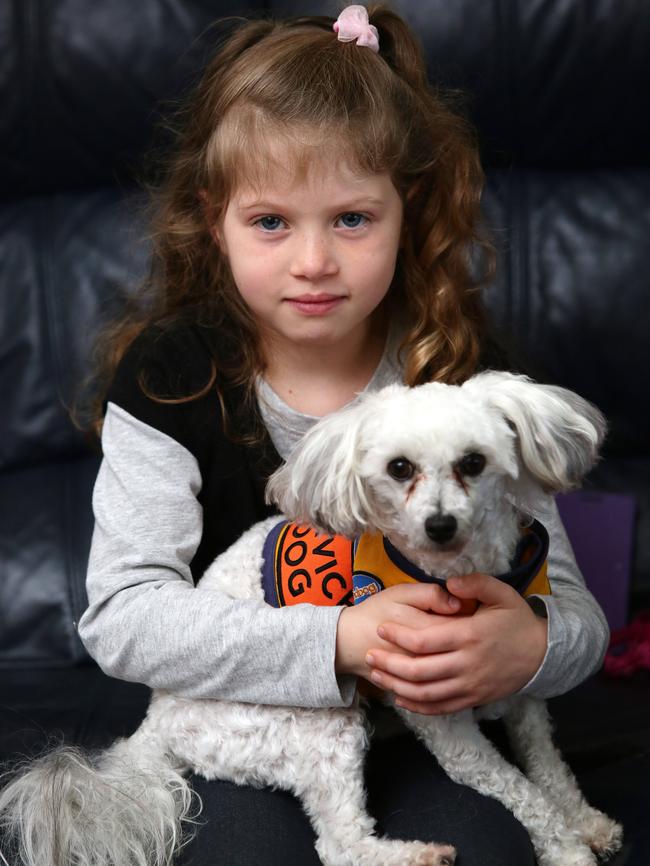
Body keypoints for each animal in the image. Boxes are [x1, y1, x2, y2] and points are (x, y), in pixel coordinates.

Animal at [0, 370, 620, 864]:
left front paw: (586, 824)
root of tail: (155, 724)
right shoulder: (447, 727)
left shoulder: (523, 683)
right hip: (319, 724)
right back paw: (413, 856)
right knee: (339, 844)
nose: (440, 525)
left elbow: (549, 768)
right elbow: (523, 793)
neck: (458, 576)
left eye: (474, 462)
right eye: (399, 468)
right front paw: (566, 851)